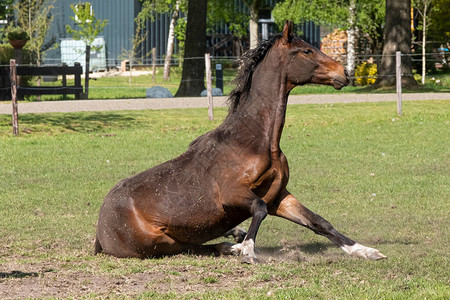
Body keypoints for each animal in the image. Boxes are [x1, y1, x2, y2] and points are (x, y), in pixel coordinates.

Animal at [95, 21, 386, 262]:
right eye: (306, 51)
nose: (344, 73)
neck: (254, 140)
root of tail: (100, 231)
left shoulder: (279, 196)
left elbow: (319, 222)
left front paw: (365, 251)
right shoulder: (233, 194)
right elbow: (259, 209)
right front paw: (247, 251)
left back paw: (234, 237)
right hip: (158, 241)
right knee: (189, 247)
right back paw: (231, 245)